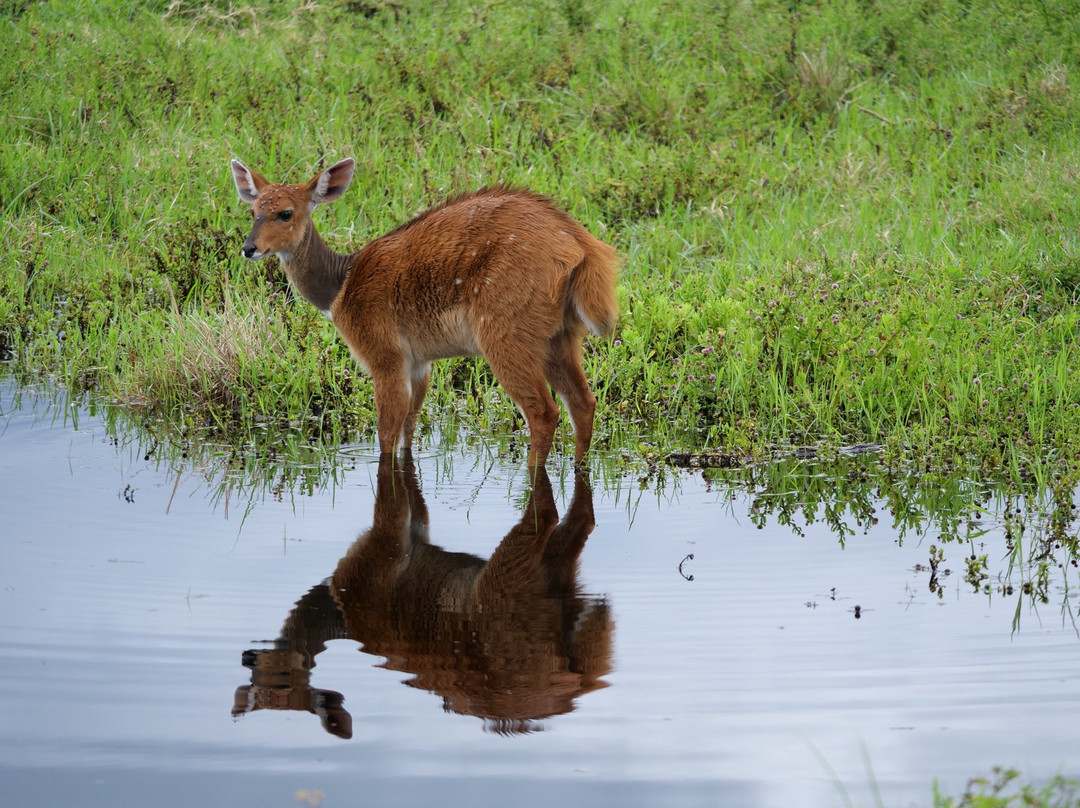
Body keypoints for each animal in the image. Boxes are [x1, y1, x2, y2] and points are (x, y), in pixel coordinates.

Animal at [230, 156, 617, 466]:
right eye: (253, 212)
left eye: (285, 213)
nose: (249, 248)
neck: (341, 284)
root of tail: (580, 246)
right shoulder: (419, 364)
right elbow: (409, 429)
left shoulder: (385, 358)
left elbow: (387, 432)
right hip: (560, 338)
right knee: (583, 402)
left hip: (506, 339)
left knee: (543, 412)